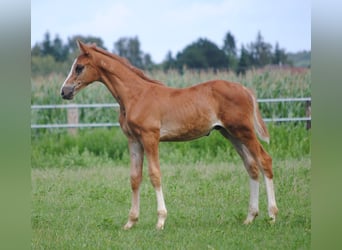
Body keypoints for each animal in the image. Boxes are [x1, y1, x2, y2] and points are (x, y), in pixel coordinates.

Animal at [59, 40, 278, 229]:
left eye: (79, 67)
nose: (64, 91)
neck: (135, 95)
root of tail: (245, 89)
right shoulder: (133, 140)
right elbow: (134, 178)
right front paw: (130, 222)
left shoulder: (150, 138)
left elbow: (155, 175)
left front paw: (160, 221)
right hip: (231, 134)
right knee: (251, 166)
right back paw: (250, 217)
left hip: (244, 131)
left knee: (264, 160)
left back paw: (272, 215)